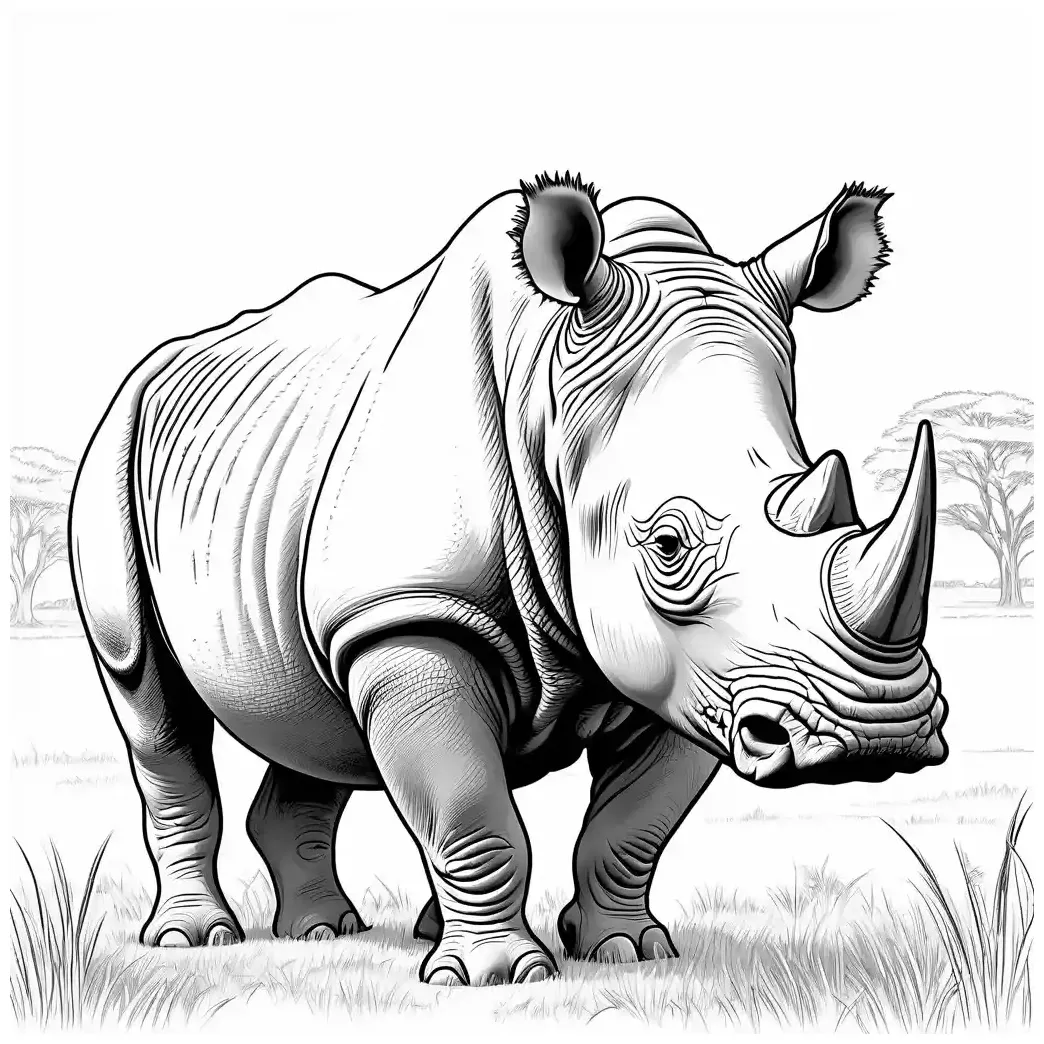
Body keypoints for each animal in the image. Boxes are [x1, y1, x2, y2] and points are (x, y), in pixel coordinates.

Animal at [70, 172, 948, 986]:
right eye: (667, 546)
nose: (878, 734)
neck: (549, 403)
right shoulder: (413, 612)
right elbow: (469, 803)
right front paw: (495, 976)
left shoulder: (699, 671)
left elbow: (635, 822)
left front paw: (627, 952)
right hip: (112, 448)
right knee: (150, 703)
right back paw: (195, 939)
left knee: (308, 714)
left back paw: (328, 932)